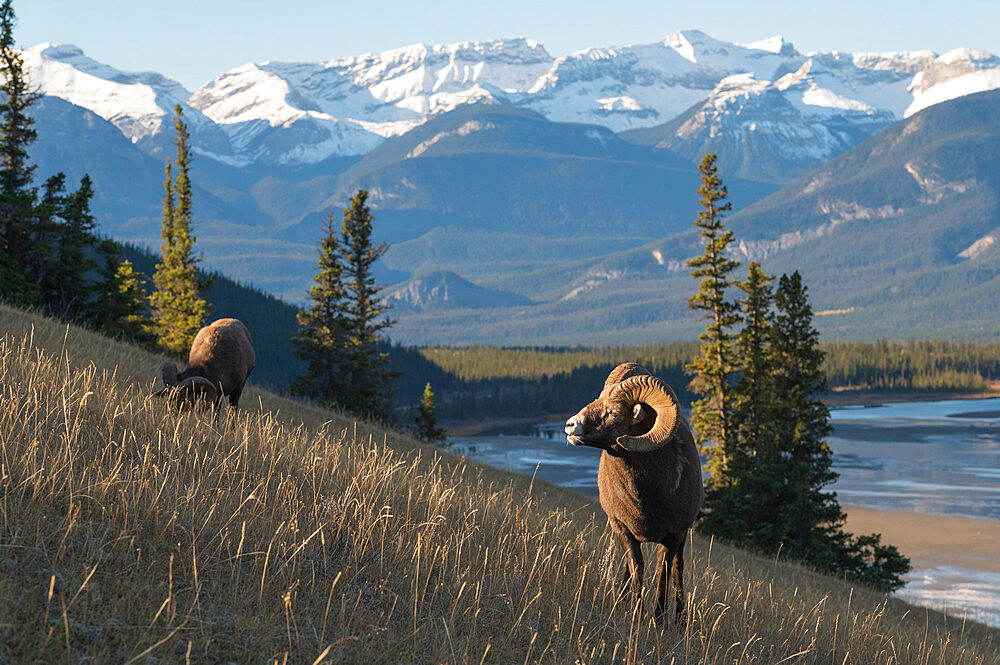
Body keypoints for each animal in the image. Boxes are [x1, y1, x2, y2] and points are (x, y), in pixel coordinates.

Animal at [568, 360, 700, 624]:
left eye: (614, 412)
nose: (570, 426)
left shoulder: (675, 534)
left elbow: (664, 571)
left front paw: (659, 620)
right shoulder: (622, 528)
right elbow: (636, 565)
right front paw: (636, 614)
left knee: (678, 568)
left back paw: (681, 619)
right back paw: (622, 601)